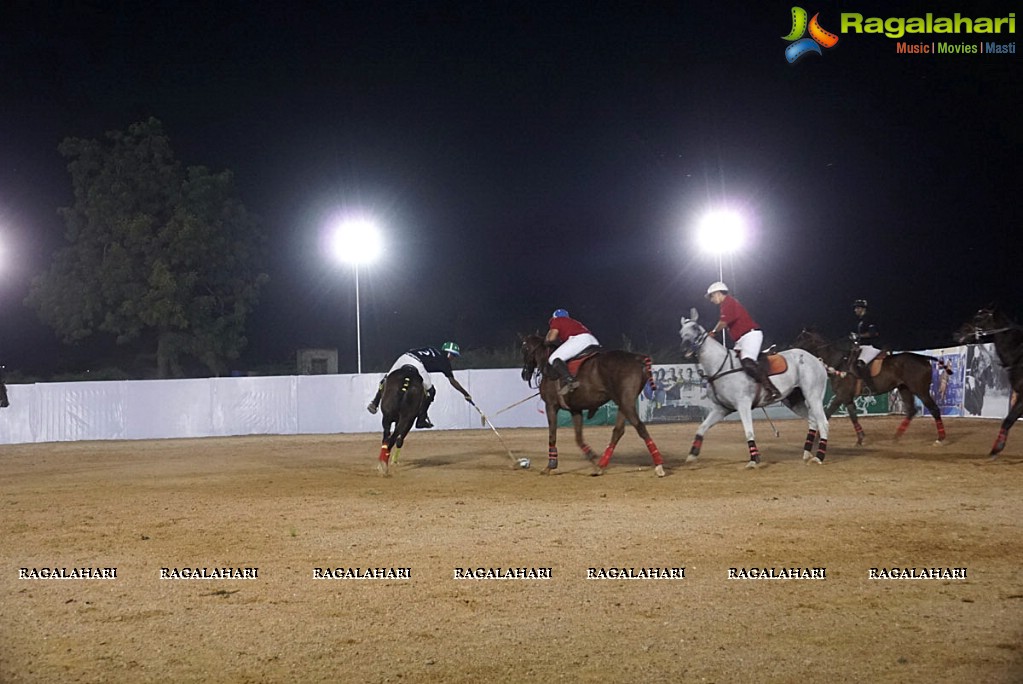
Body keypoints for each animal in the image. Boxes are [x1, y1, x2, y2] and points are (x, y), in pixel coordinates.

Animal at [519, 331, 662, 474]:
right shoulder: (575, 409)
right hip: (623, 402)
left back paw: (659, 465)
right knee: (618, 431)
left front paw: (551, 465)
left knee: (640, 427)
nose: (524, 374)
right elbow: (578, 438)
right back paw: (601, 465)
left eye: (524, 348)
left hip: (626, 402)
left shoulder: (551, 406)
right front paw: (592, 457)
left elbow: (552, 436)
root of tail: (638, 358)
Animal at [679, 310, 830, 466]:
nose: (684, 349)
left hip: (813, 395)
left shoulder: (743, 404)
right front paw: (692, 455)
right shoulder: (721, 409)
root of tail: (817, 360)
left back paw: (819, 457)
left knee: (823, 423)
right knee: (813, 420)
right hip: (794, 401)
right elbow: (701, 428)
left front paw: (754, 459)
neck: (720, 367)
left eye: (695, 327)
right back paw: (807, 453)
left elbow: (749, 431)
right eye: (681, 332)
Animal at [789, 327, 949, 445]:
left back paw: (940, 438)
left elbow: (827, 414)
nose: (790, 348)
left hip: (920, 390)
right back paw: (896, 437)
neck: (838, 362)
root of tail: (923, 357)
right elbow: (853, 416)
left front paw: (816, 439)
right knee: (911, 411)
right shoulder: (847, 398)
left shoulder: (840, 396)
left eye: (800, 338)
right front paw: (860, 439)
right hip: (904, 389)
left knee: (934, 409)